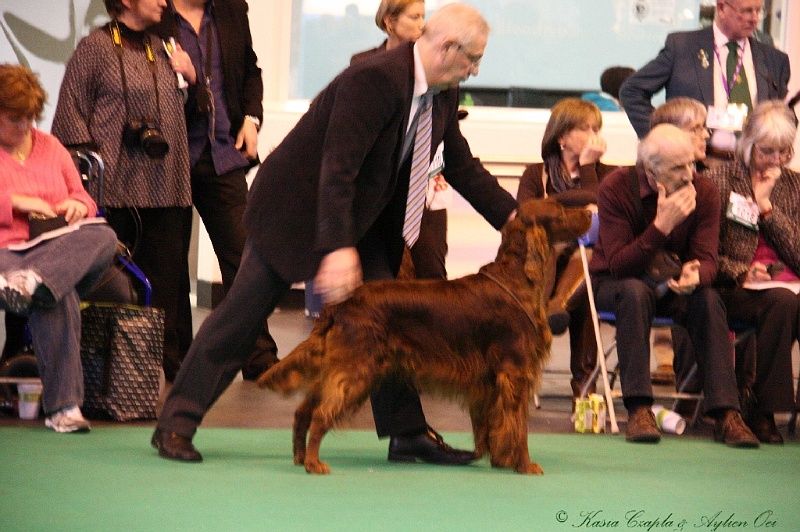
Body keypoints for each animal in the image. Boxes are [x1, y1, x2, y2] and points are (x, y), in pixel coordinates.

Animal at [260, 198, 592, 474]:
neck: (515, 279)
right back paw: (314, 464)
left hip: (336, 368)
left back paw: (300, 457)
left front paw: (502, 461)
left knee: (303, 411)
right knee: (320, 414)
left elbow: (498, 425)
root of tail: (342, 304)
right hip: (356, 371)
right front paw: (524, 465)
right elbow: (518, 426)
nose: (591, 212)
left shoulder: (491, 381)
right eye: (560, 211)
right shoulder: (515, 371)